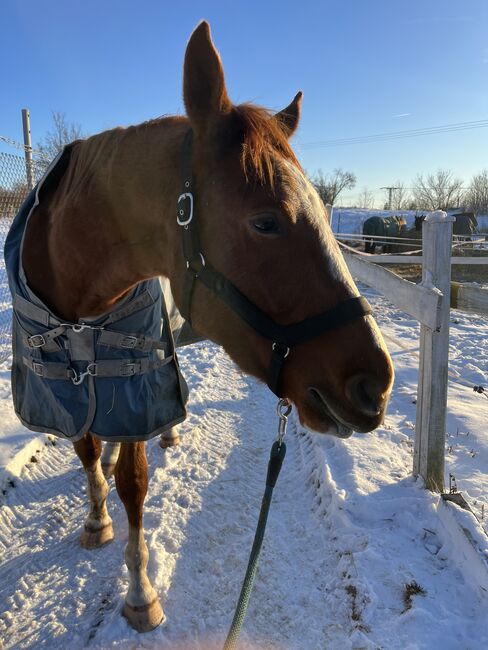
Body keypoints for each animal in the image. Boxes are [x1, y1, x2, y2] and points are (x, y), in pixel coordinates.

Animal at [4, 22, 392, 632]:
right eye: (265, 221)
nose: (375, 383)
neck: (75, 292)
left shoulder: (136, 380)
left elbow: (133, 482)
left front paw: (140, 593)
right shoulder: (64, 381)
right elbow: (87, 451)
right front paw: (95, 520)